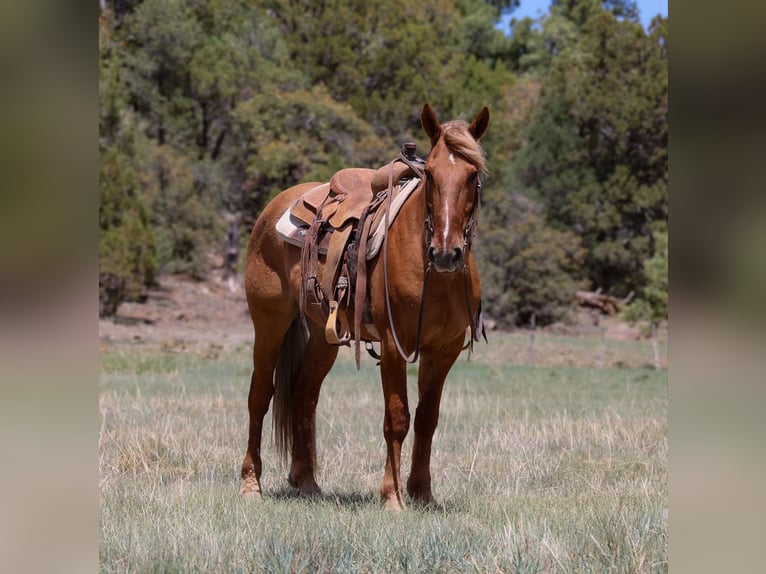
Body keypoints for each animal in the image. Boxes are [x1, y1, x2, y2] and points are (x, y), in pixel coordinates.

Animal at [239, 103, 490, 509]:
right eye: (431, 175)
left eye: (473, 175)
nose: (446, 253)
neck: (432, 272)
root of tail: (275, 206)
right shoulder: (392, 345)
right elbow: (397, 418)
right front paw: (393, 497)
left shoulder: (444, 350)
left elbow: (428, 418)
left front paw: (422, 493)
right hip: (269, 325)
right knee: (260, 395)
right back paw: (251, 484)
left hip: (322, 338)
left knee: (303, 393)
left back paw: (306, 482)